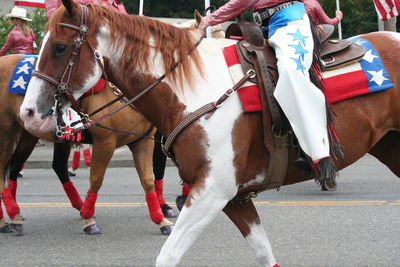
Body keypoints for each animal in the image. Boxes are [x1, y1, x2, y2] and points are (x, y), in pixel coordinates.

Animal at [0, 54, 175, 237]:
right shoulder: (105, 142)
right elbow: (97, 179)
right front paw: (90, 220)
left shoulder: (143, 141)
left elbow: (148, 180)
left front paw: (161, 219)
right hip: (7, 133)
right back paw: (8, 219)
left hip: (34, 135)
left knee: (36, 167)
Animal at [18, 1, 400, 266]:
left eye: (60, 47)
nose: (29, 113)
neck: (193, 91)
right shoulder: (235, 199)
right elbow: (264, 254)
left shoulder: (212, 192)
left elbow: (168, 255)